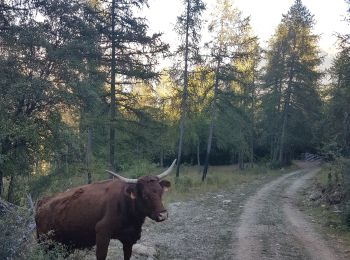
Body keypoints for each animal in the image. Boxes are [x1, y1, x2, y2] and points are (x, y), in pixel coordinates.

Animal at [35, 159, 175, 258]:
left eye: (160, 192)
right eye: (145, 195)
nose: (163, 215)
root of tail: (43, 201)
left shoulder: (129, 238)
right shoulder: (102, 234)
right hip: (45, 242)